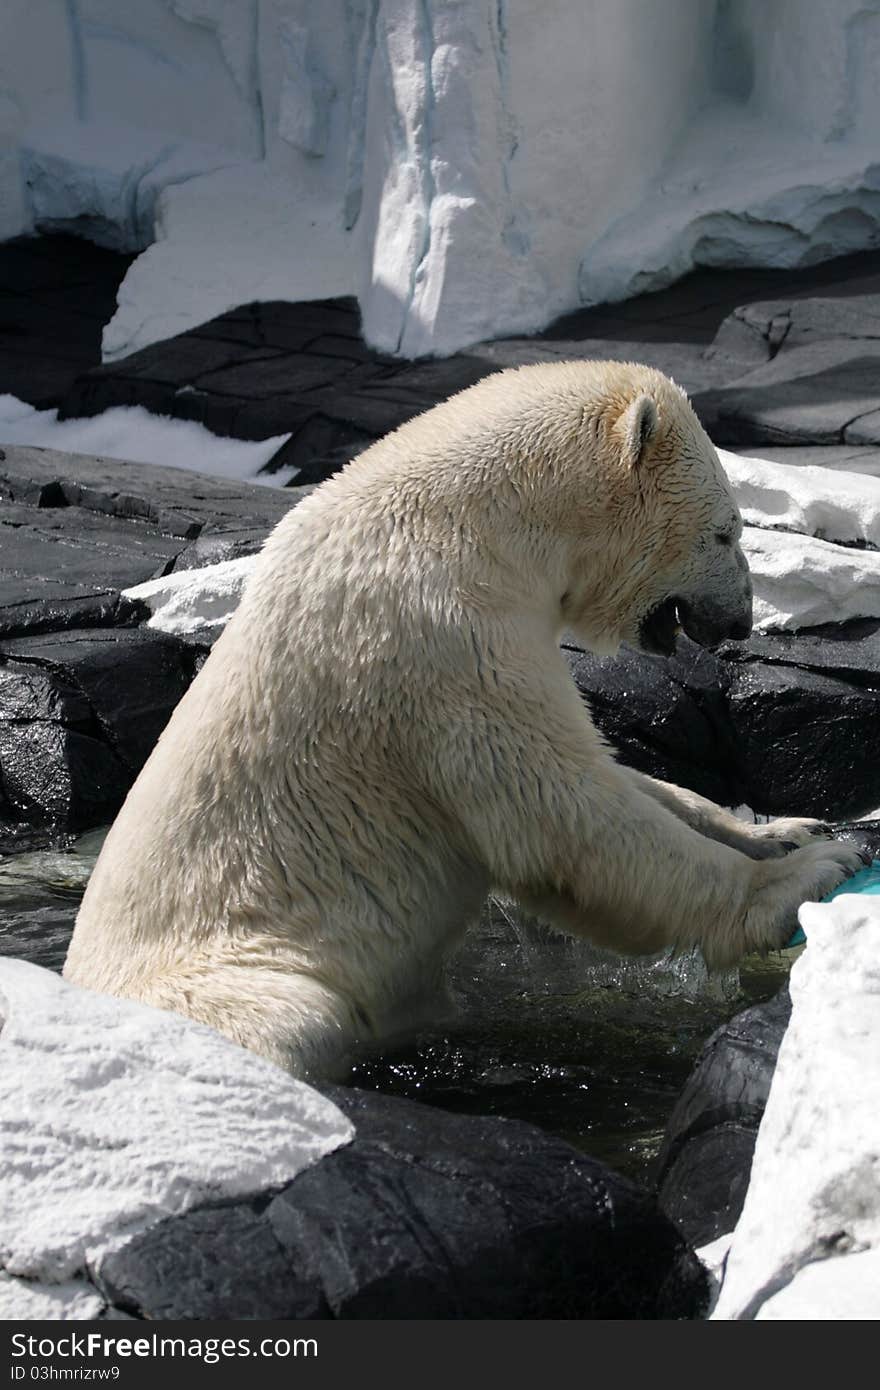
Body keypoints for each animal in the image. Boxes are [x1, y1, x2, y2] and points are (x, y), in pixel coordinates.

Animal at [65, 361, 861, 1073]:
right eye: (726, 532)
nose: (742, 620)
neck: (480, 518)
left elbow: (618, 777)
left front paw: (786, 830)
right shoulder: (442, 637)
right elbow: (561, 810)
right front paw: (809, 875)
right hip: (236, 973)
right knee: (294, 1014)